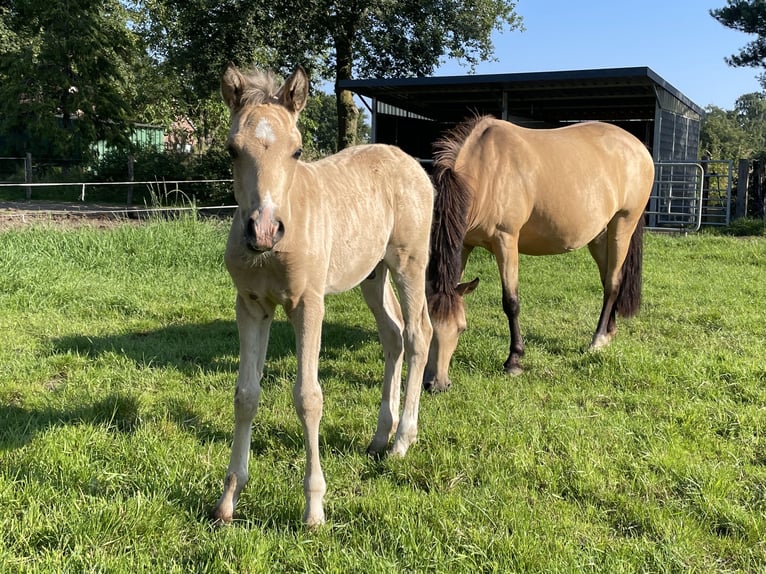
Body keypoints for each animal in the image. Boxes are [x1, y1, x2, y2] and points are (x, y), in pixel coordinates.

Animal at [214, 63, 438, 528]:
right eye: (232, 150)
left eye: (297, 151)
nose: (264, 230)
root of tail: (410, 163)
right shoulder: (250, 306)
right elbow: (245, 395)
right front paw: (228, 499)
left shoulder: (308, 305)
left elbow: (308, 397)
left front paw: (314, 509)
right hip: (372, 274)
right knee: (392, 335)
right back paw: (379, 437)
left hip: (408, 263)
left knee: (417, 334)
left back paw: (402, 441)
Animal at [426, 115, 656, 394]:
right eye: (428, 328)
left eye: (461, 329)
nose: (437, 385)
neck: (486, 171)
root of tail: (639, 147)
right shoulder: (465, 244)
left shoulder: (506, 240)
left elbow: (511, 302)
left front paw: (514, 361)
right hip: (600, 236)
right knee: (609, 282)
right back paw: (609, 332)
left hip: (623, 225)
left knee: (613, 283)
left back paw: (598, 340)